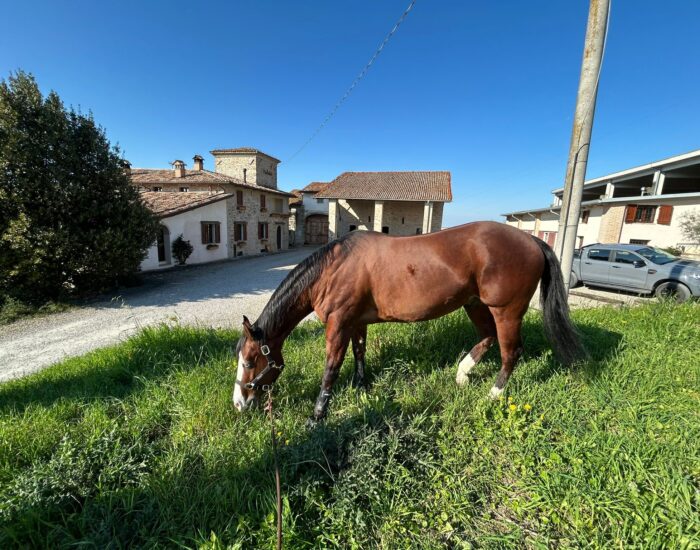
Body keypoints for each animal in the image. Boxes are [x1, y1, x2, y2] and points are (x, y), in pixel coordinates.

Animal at [233, 221, 583, 424]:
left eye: (250, 361)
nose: (239, 403)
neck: (333, 269)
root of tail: (532, 240)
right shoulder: (356, 322)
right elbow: (359, 353)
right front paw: (361, 386)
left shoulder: (338, 325)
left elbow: (331, 368)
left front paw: (318, 416)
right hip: (475, 304)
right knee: (488, 338)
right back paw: (462, 374)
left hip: (506, 311)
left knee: (511, 352)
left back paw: (492, 395)